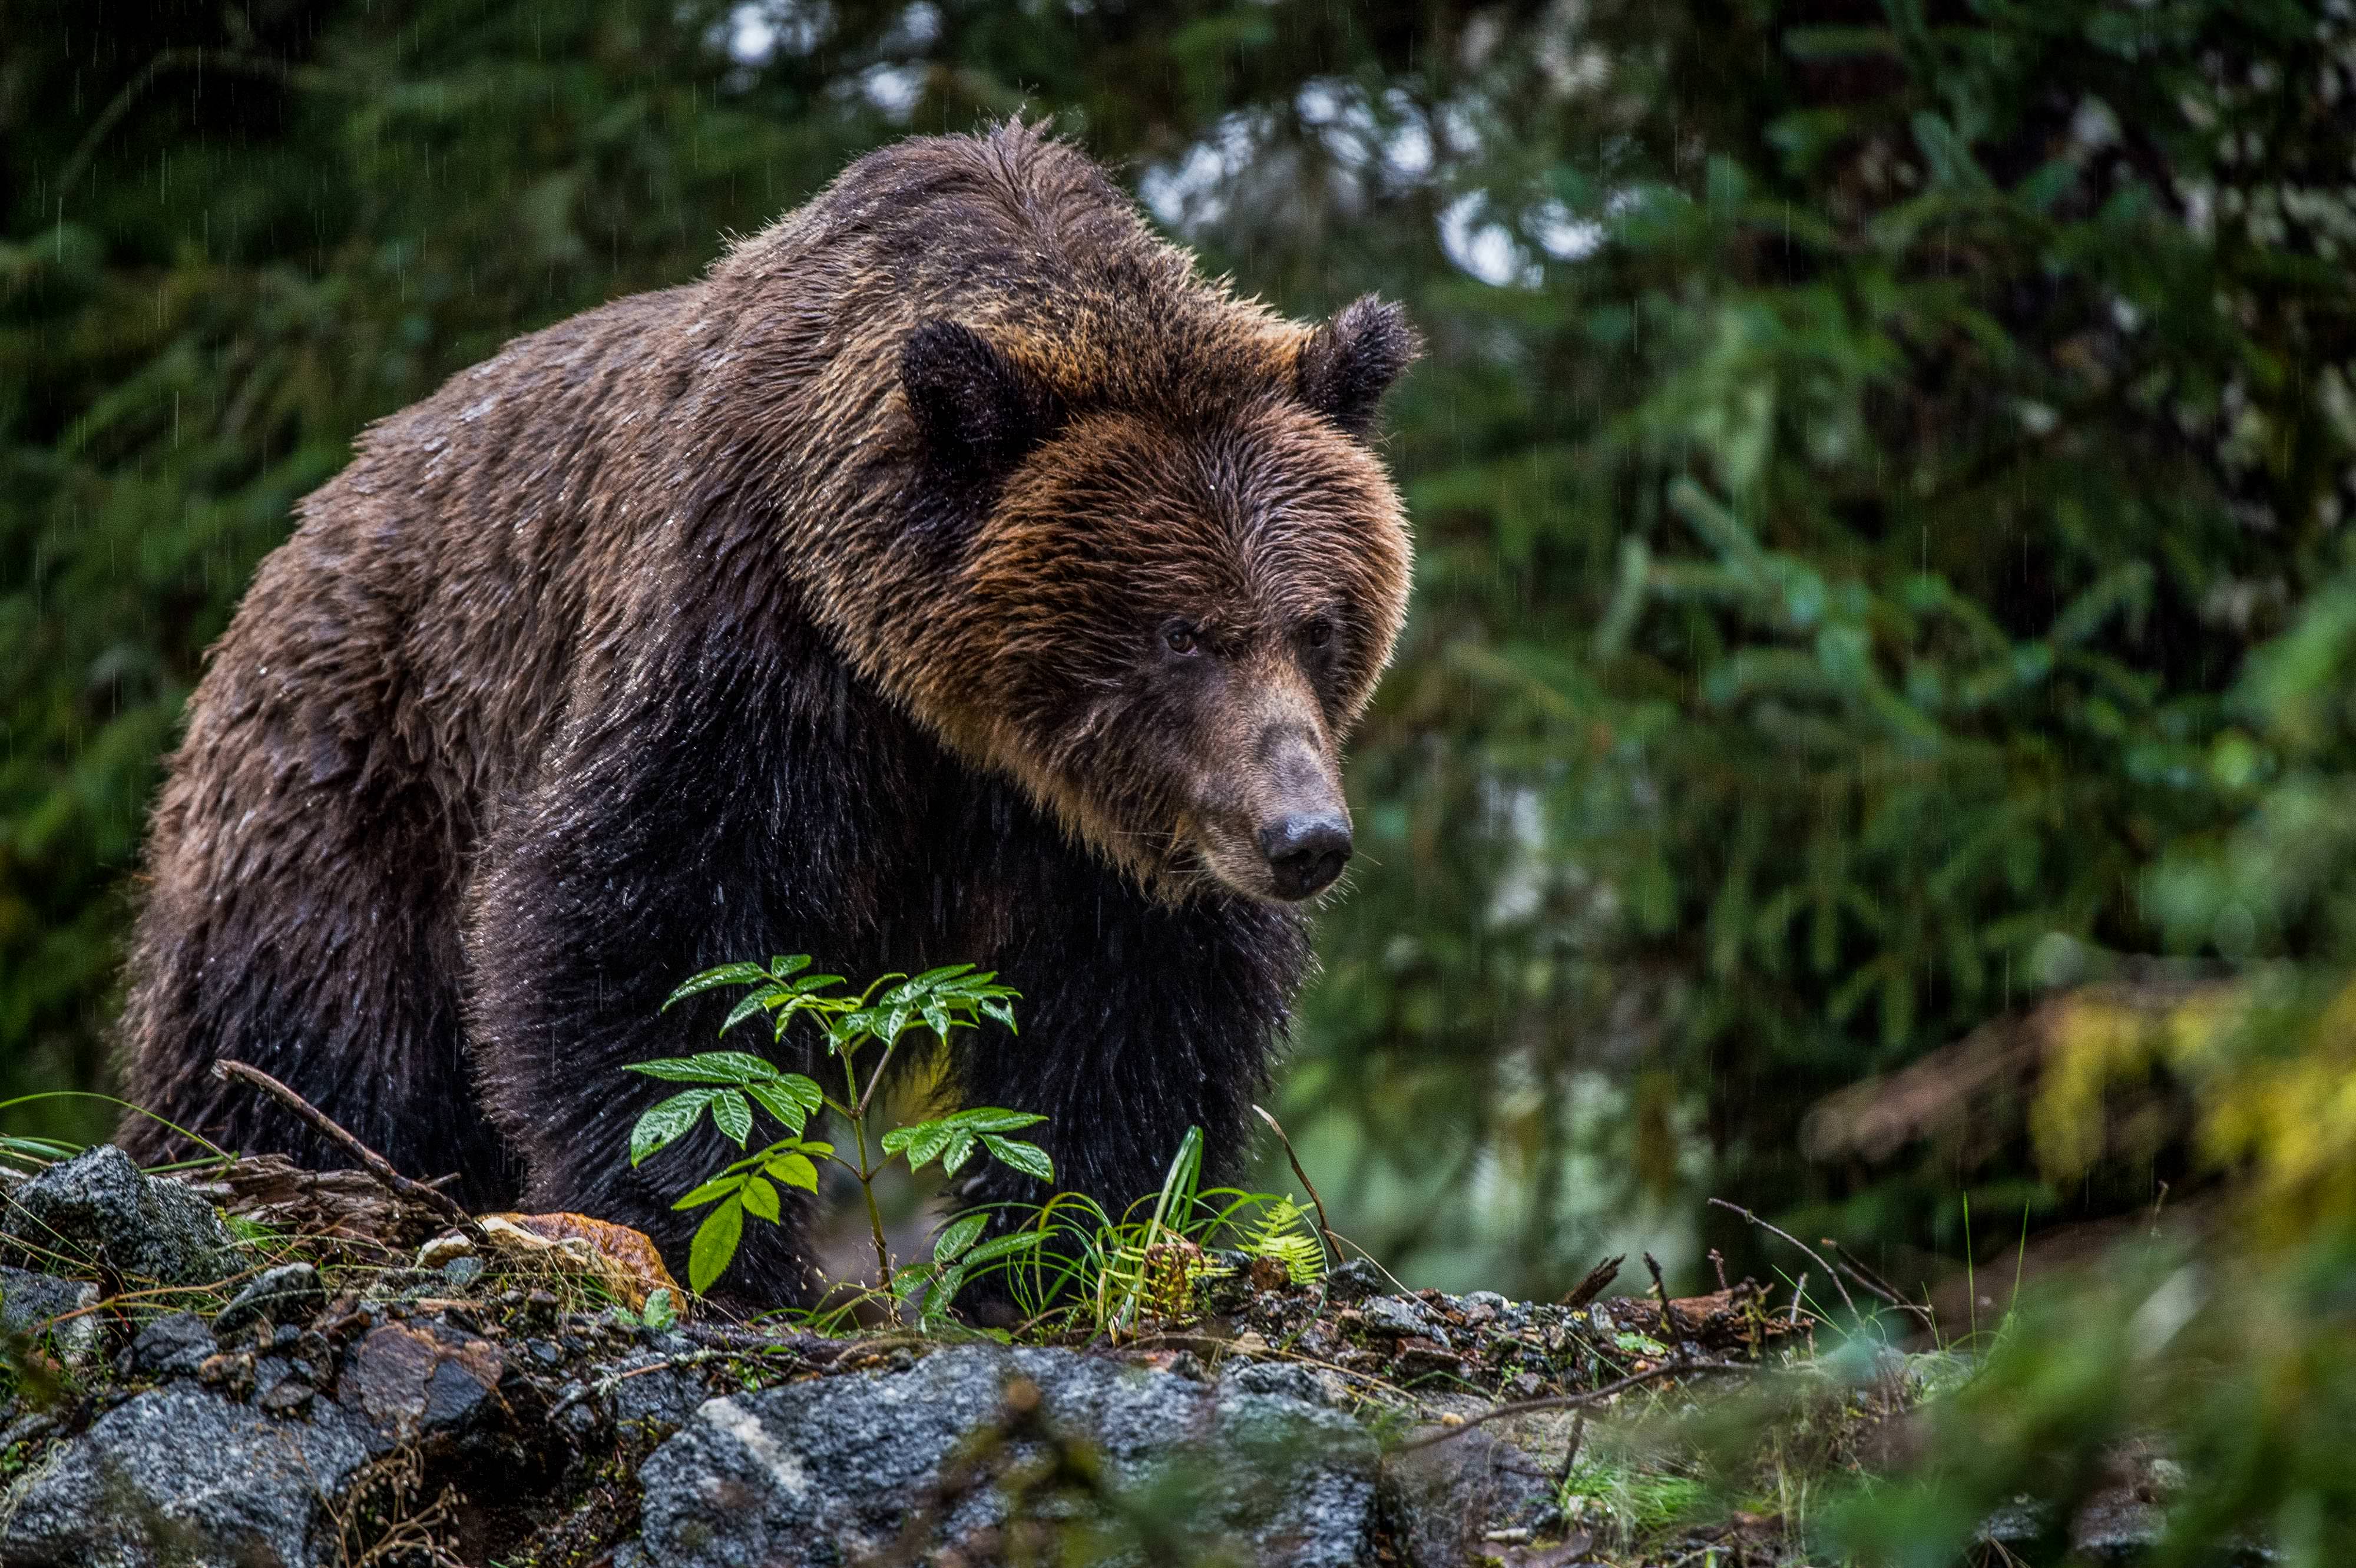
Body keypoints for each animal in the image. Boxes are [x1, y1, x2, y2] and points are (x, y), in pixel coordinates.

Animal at [115, 118, 1414, 1290]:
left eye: (1317, 623)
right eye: (1179, 631)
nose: (1302, 835)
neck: (946, 713)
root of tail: (311, 519)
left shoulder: (1101, 834)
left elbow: (1133, 1017)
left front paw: (1056, 1242)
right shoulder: (747, 647)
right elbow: (647, 926)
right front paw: (712, 1234)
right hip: (356, 771)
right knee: (300, 1022)